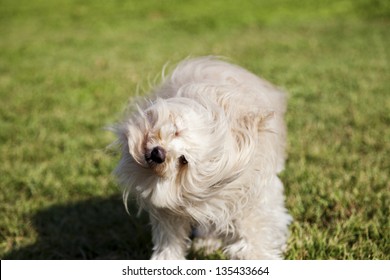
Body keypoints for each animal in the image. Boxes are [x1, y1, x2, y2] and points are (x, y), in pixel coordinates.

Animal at [114, 57, 290, 260]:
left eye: (183, 160)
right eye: (176, 131)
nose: (158, 154)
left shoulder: (251, 198)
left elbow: (256, 233)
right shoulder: (172, 210)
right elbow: (170, 239)